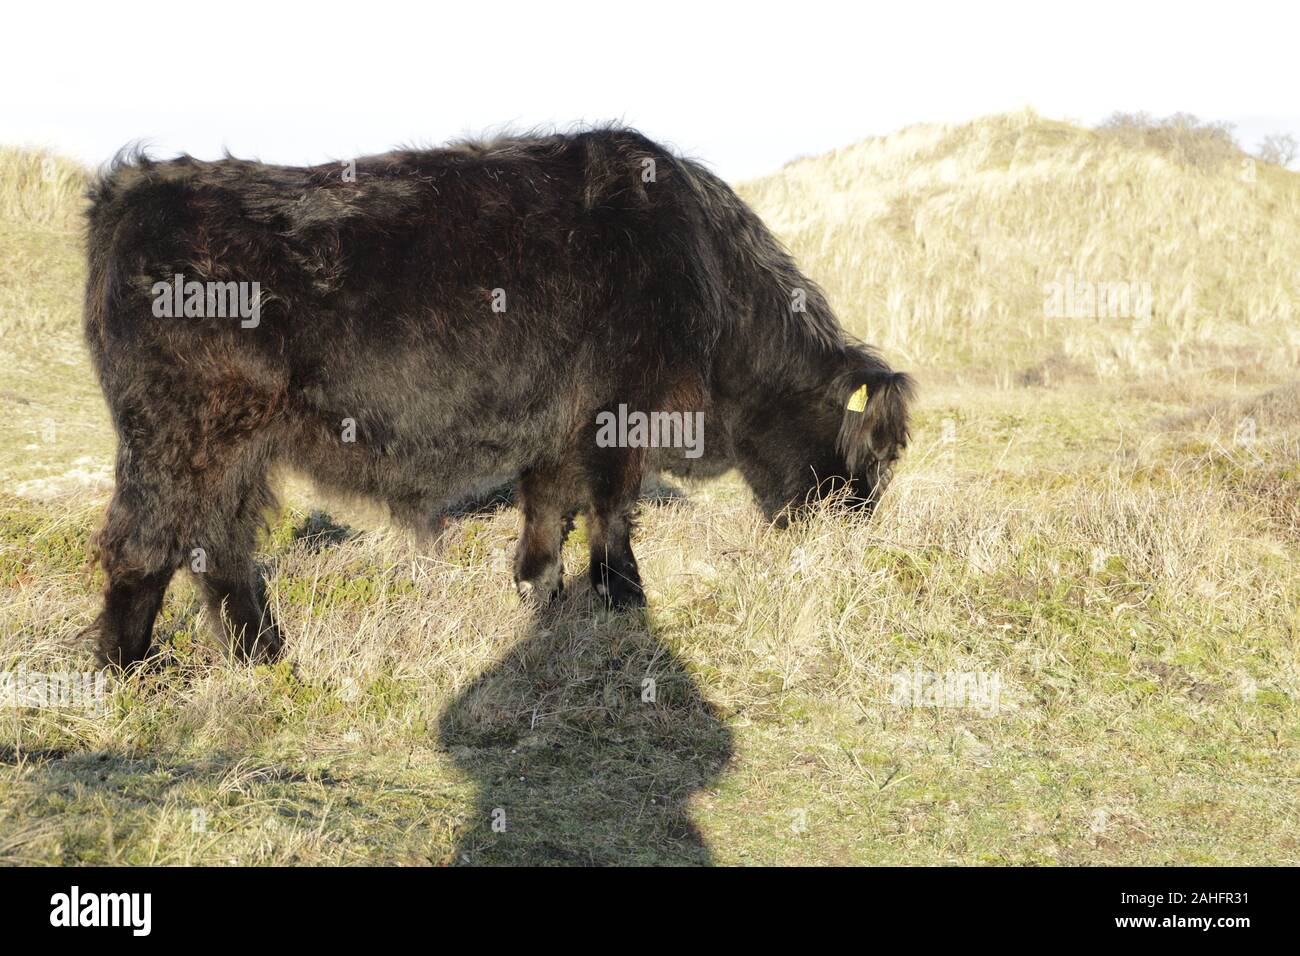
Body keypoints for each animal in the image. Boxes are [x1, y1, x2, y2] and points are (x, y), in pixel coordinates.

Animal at [81, 127, 915, 671]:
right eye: (873, 456)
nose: (857, 524)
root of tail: (135, 187)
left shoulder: (558, 420)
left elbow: (549, 507)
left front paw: (539, 593)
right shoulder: (622, 409)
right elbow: (611, 509)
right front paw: (626, 599)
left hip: (230, 448)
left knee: (215, 543)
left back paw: (261, 656)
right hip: (187, 433)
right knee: (145, 543)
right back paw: (135, 673)